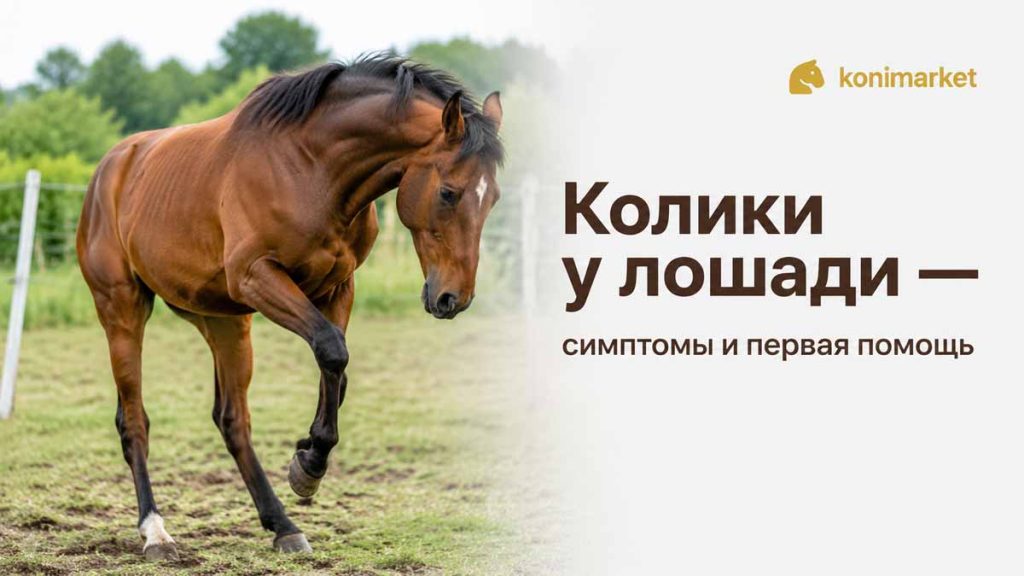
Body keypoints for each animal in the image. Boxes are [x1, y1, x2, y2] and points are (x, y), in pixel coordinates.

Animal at [75, 54, 504, 560]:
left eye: (492, 198)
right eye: (448, 192)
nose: (452, 298)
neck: (311, 168)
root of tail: (110, 168)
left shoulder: (337, 287)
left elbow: (335, 368)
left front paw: (306, 457)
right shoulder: (257, 276)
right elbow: (332, 350)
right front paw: (310, 464)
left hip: (223, 322)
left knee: (233, 421)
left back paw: (282, 525)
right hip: (123, 310)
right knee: (135, 421)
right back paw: (155, 531)